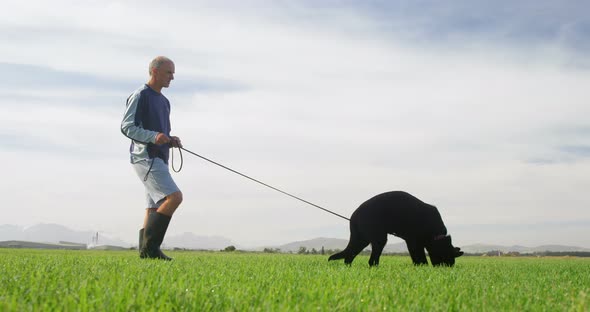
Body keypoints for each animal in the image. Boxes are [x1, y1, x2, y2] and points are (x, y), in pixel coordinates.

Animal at [330, 191, 464, 266]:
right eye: (447, 258)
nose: (445, 268)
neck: (436, 236)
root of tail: (354, 216)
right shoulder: (414, 242)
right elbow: (420, 257)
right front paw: (423, 266)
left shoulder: (412, 242)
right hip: (378, 238)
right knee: (371, 260)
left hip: (362, 239)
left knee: (349, 256)